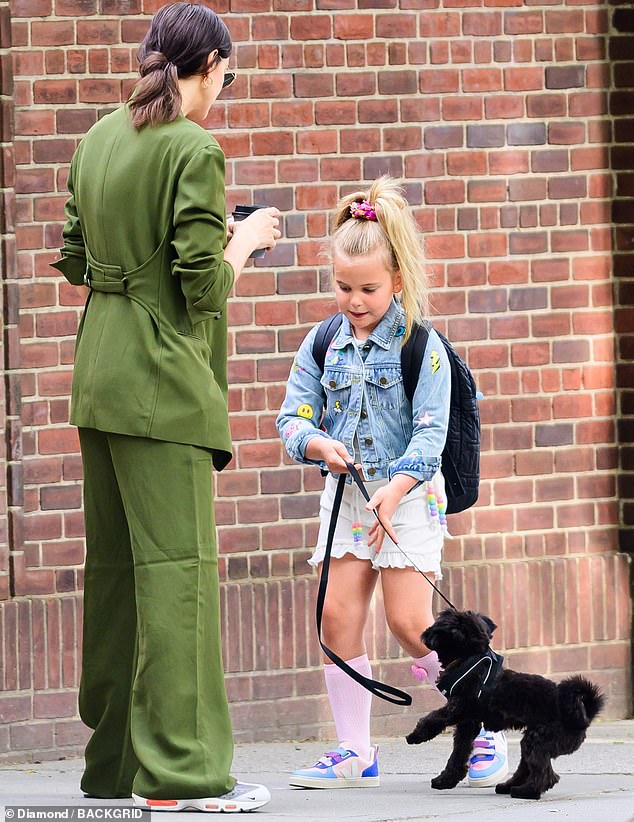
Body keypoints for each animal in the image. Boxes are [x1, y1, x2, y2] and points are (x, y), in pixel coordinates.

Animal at [404, 608, 604, 800]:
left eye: (440, 623)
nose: (425, 632)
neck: (470, 659)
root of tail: (583, 715)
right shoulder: (467, 725)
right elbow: (458, 754)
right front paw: (445, 780)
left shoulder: (458, 708)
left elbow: (433, 718)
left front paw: (416, 735)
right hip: (531, 741)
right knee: (526, 767)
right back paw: (508, 786)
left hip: (539, 740)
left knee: (545, 773)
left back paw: (527, 792)